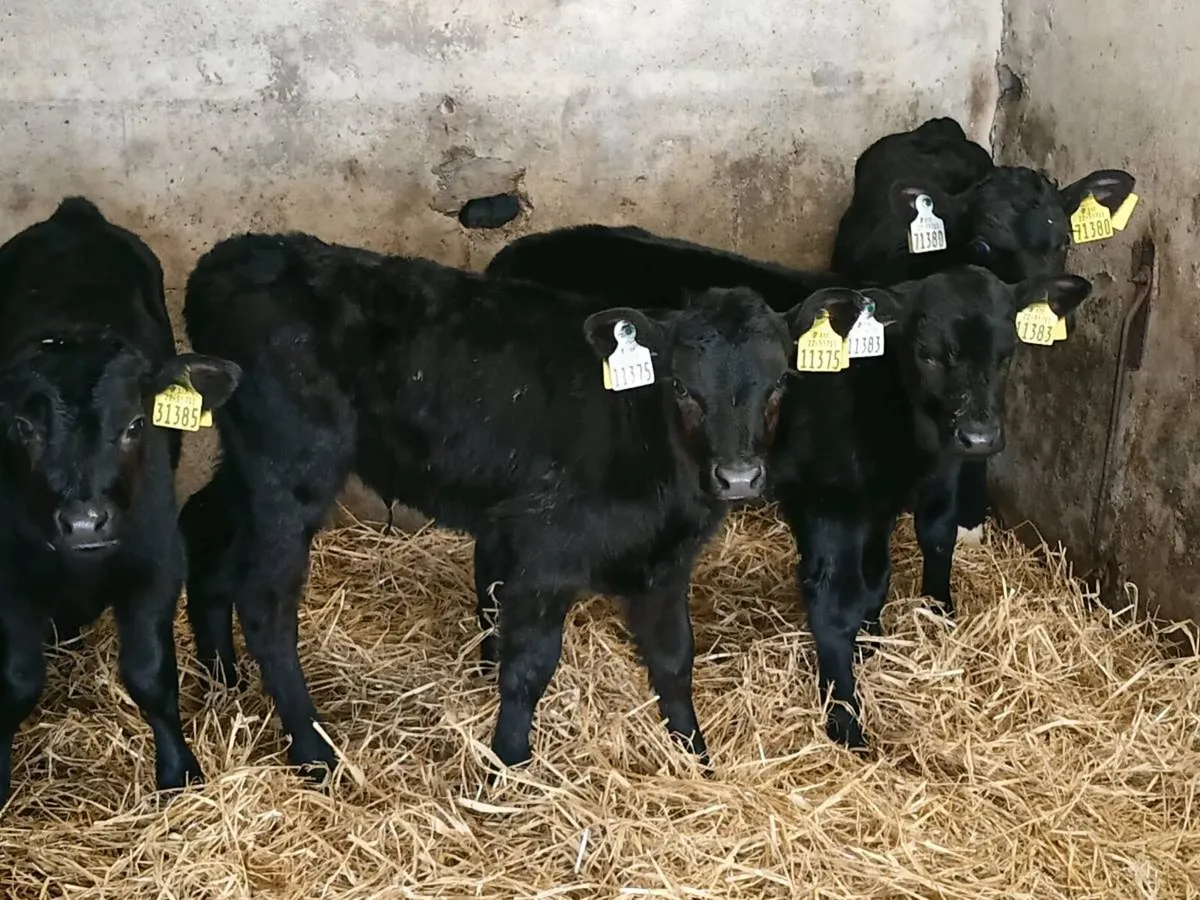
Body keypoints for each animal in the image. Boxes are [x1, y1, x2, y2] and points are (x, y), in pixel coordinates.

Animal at [0, 197, 241, 809]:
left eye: (136, 425)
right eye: (22, 427)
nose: (85, 522)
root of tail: (76, 214)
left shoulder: (158, 562)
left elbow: (150, 673)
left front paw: (179, 771)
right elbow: (16, 680)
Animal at [177, 231, 852, 776]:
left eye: (781, 382)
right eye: (682, 386)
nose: (738, 476)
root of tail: (233, 253)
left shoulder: (666, 560)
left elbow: (674, 659)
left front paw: (695, 757)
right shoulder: (543, 551)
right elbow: (529, 667)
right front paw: (509, 766)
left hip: (252, 463)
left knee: (205, 527)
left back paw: (222, 681)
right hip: (293, 470)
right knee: (266, 604)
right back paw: (313, 752)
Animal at [486, 225, 1092, 748]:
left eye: (1007, 354)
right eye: (929, 353)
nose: (979, 436)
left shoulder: (879, 501)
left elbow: (891, 570)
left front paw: (887, 638)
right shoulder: (829, 502)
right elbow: (835, 604)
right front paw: (845, 720)